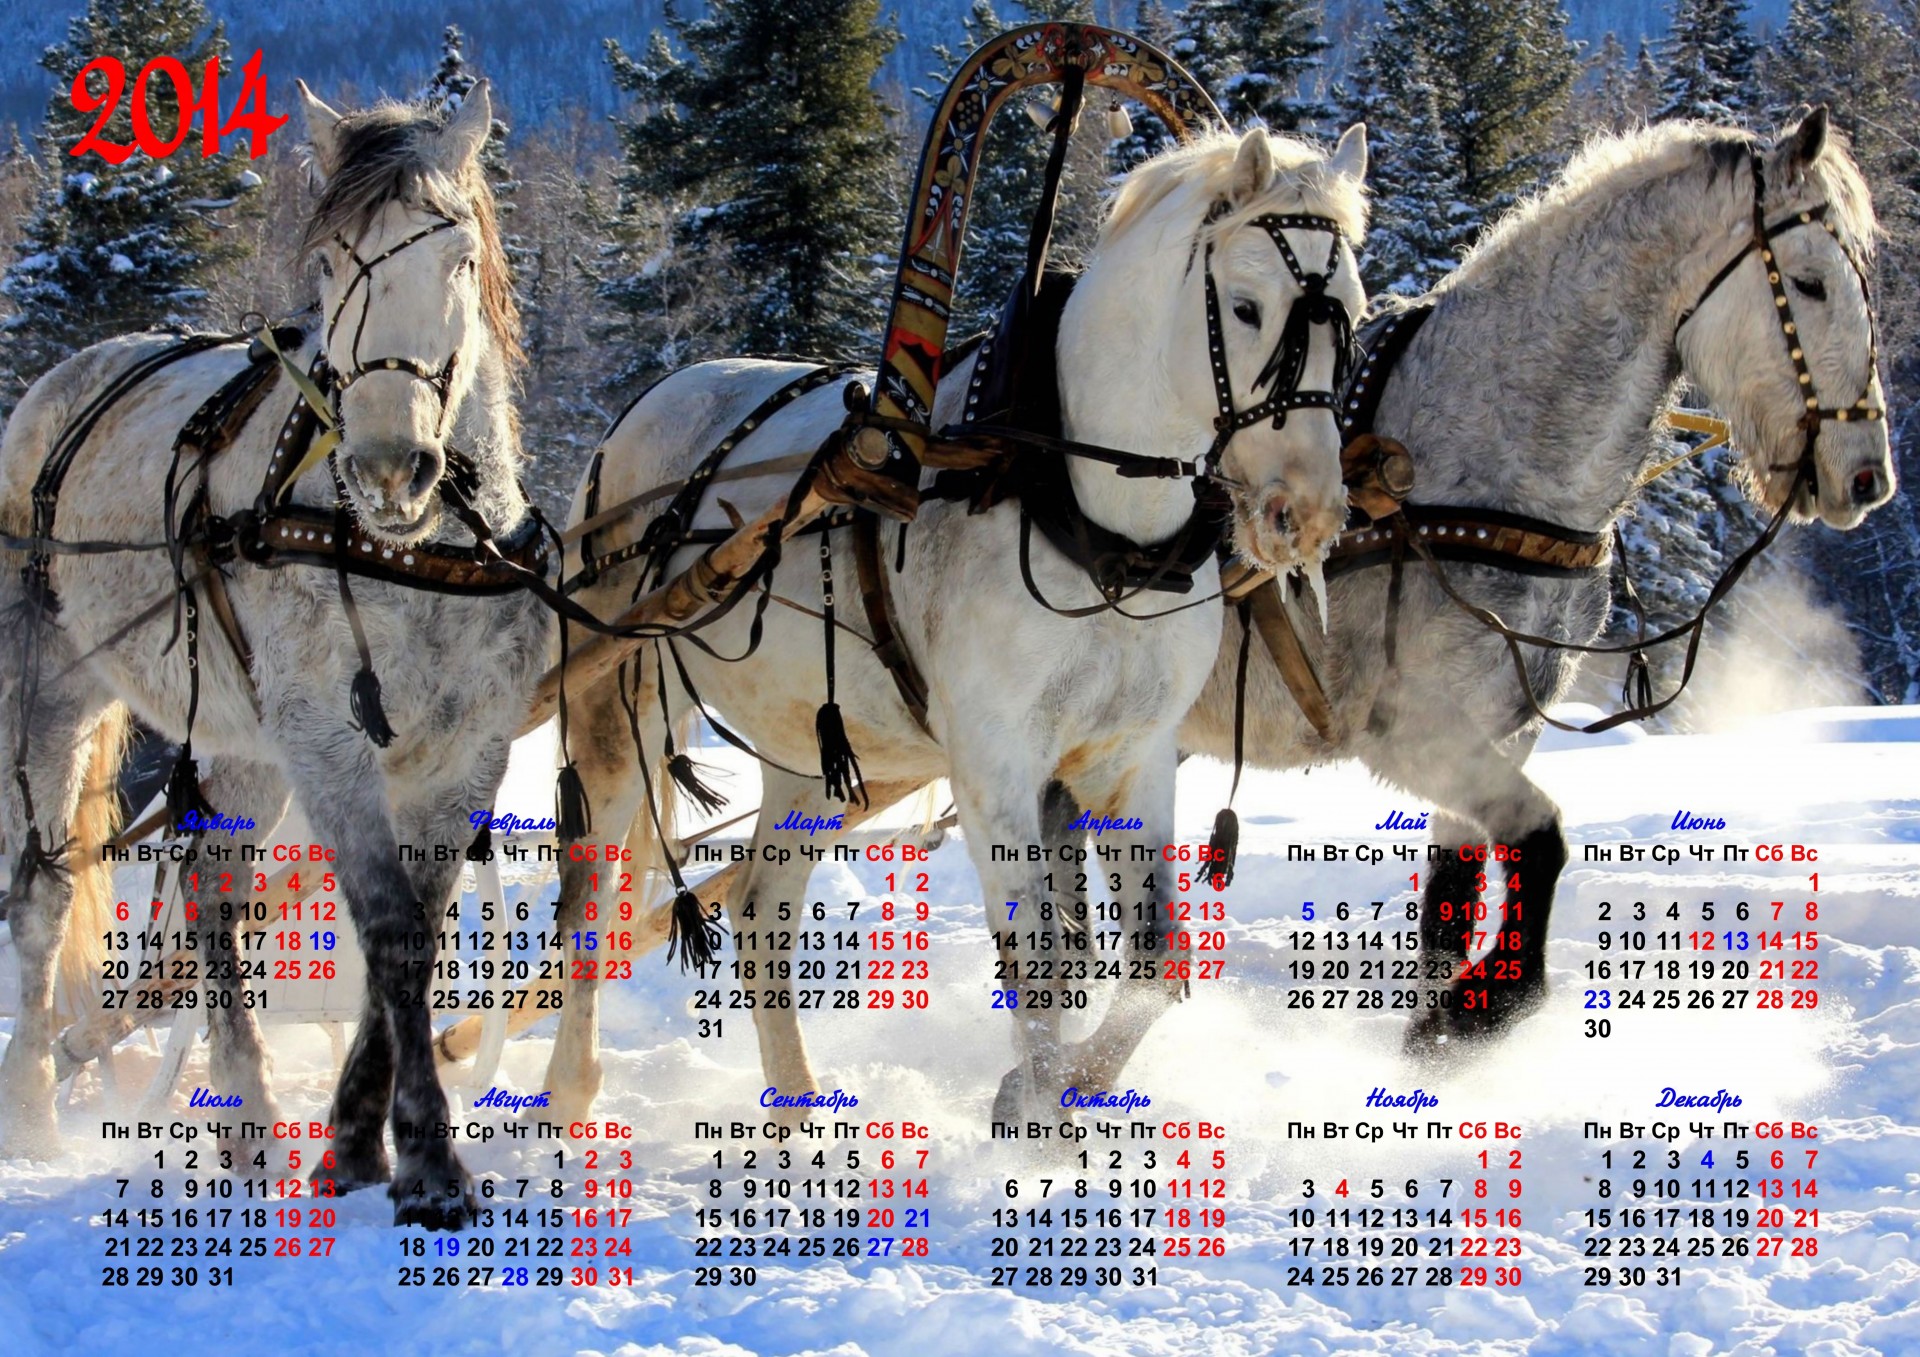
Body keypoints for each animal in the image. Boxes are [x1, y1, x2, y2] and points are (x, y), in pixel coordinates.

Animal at [0, 82, 549, 1231]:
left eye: (456, 257)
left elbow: (418, 928)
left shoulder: (463, 749)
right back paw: (30, 1107)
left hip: (237, 733)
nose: (388, 465)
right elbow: (386, 923)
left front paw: (350, 1141)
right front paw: (425, 1161)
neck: (411, 550)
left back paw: (248, 1121)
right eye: (333, 261)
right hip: (46, 691)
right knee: (39, 893)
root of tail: (63, 380)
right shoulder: (325, 736)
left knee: (214, 892)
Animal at [537, 124, 1371, 1126]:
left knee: (763, 911)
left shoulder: (1132, 757)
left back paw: (799, 1111)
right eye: (1246, 308)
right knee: (589, 896)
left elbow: (1153, 966)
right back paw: (569, 1093)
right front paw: (1034, 1115)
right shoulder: (994, 758)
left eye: (1353, 314)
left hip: (816, 754)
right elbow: (1042, 961)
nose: (1308, 512)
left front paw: (1066, 1088)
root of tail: (643, 409)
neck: (1093, 524)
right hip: (623, 704)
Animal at [1150, 111, 1891, 1048]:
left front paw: (1434, 1026)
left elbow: (1454, 894)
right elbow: (1543, 838)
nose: (1867, 476)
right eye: (1810, 282)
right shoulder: (1412, 729)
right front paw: (1487, 1007)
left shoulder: (1505, 728)